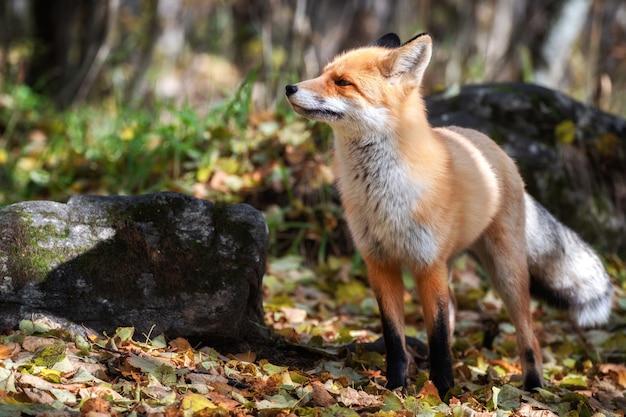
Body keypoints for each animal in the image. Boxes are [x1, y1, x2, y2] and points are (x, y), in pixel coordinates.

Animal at [286, 32, 612, 396]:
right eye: (323, 72)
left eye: (342, 82)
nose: (289, 87)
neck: (385, 195)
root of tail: (494, 147)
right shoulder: (380, 263)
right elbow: (395, 339)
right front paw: (396, 387)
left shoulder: (428, 264)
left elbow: (438, 336)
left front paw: (443, 392)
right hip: (451, 264)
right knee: (454, 310)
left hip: (505, 273)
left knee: (528, 335)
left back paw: (533, 386)